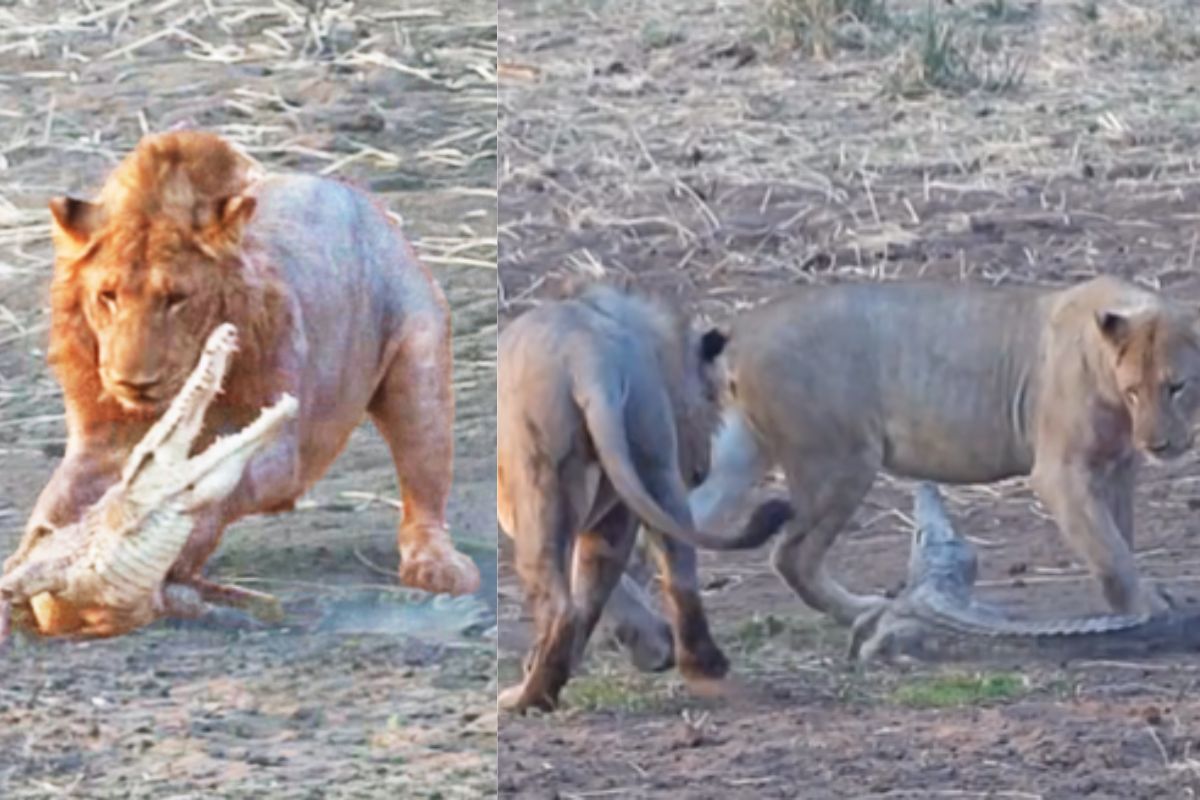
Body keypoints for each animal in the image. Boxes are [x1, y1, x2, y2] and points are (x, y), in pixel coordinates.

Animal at [11, 131, 481, 623]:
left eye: (176, 298)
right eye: (108, 296)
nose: (132, 381)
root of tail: (358, 195)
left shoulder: (280, 448)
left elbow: (221, 490)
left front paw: (169, 558)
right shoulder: (99, 443)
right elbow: (56, 504)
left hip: (418, 366)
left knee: (424, 487)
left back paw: (437, 565)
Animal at [496, 284, 772, 713]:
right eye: (712, 399)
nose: (701, 470)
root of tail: (587, 355)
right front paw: (653, 647)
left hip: (538, 484)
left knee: (562, 604)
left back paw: (528, 697)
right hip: (651, 465)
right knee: (677, 574)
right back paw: (703, 666)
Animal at [645, 276, 1200, 630]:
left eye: (1175, 387)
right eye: (1135, 391)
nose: (1158, 444)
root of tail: (744, 326)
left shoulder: (1118, 467)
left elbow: (1120, 538)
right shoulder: (1060, 471)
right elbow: (1108, 548)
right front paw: (1147, 609)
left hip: (740, 458)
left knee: (670, 525)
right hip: (842, 461)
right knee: (792, 555)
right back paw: (866, 611)